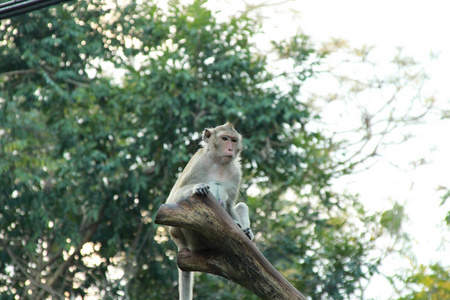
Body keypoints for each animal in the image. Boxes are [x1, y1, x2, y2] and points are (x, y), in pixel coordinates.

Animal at [167, 122, 255, 300]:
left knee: (241, 206)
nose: (230, 148)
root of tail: (180, 244)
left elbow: (230, 205)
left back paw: (244, 231)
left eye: (234, 140)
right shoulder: (198, 162)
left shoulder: (236, 172)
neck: (219, 164)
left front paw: (242, 229)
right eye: (225, 139)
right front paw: (197, 187)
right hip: (190, 241)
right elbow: (172, 199)